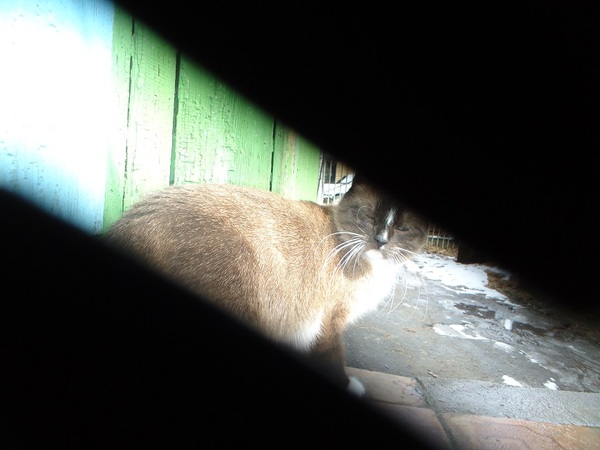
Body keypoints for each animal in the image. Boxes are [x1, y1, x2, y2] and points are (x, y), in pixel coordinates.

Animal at [103, 174, 427, 396]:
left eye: (402, 228)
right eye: (369, 216)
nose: (380, 241)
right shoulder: (329, 320)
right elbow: (333, 358)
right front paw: (350, 386)